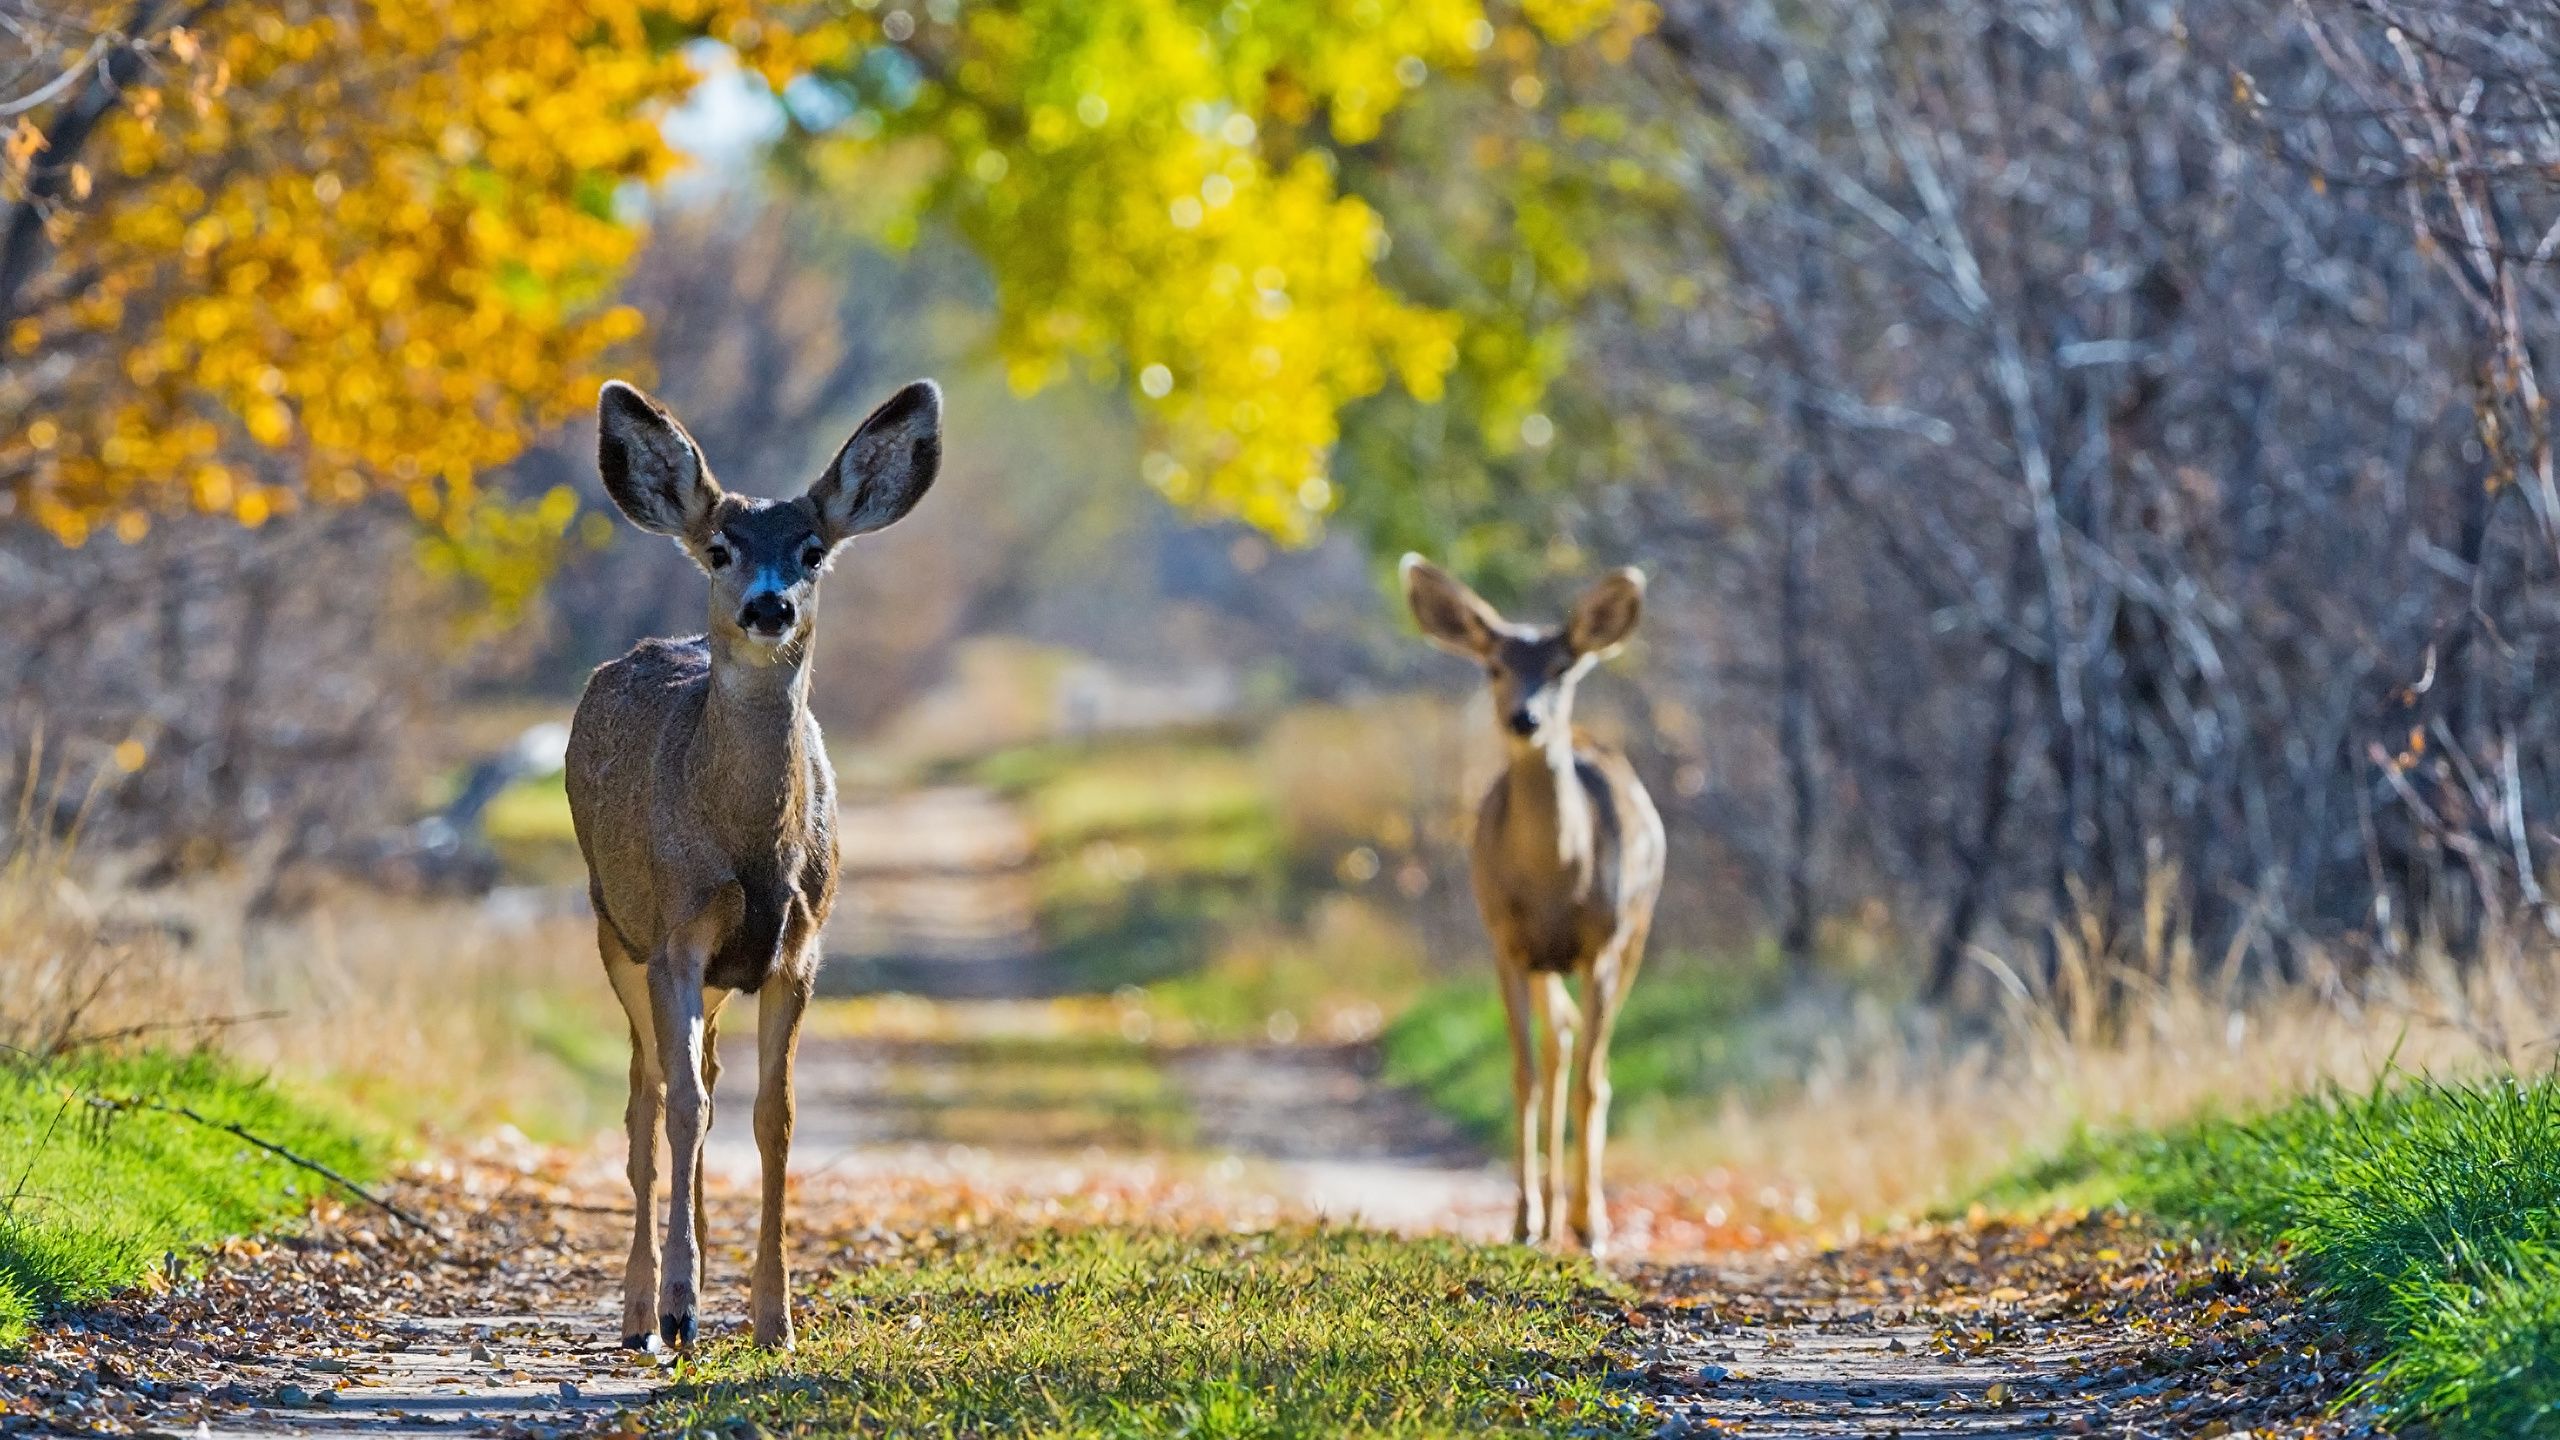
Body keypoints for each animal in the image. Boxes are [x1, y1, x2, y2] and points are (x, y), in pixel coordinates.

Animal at [565, 368, 947, 1342]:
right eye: (719, 548)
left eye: (812, 549)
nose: (768, 606)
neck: (749, 851)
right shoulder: (675, 934)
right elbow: (682, 1108)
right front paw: (680, 1302)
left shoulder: (799, 949)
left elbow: (774, 1115)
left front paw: (773, 1317)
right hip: (612, 927)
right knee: (650, 1096)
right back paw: (643, 1307)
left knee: (700, 1076)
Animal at [1402, 556, 1658, 1250]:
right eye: (1493, 666)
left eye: (1563, 668)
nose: (1526, 719)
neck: (1556, 884)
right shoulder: (1506, 942)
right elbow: (1524, 1077)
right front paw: (1524, 1219)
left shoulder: (1603, 943)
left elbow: (1594, 1082)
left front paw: (1592, 1223)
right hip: (1544, 961)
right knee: (1557, 1043)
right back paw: (1546, 1215)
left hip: (1638, 931)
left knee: (1583, 1055)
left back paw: (1577, 1214)